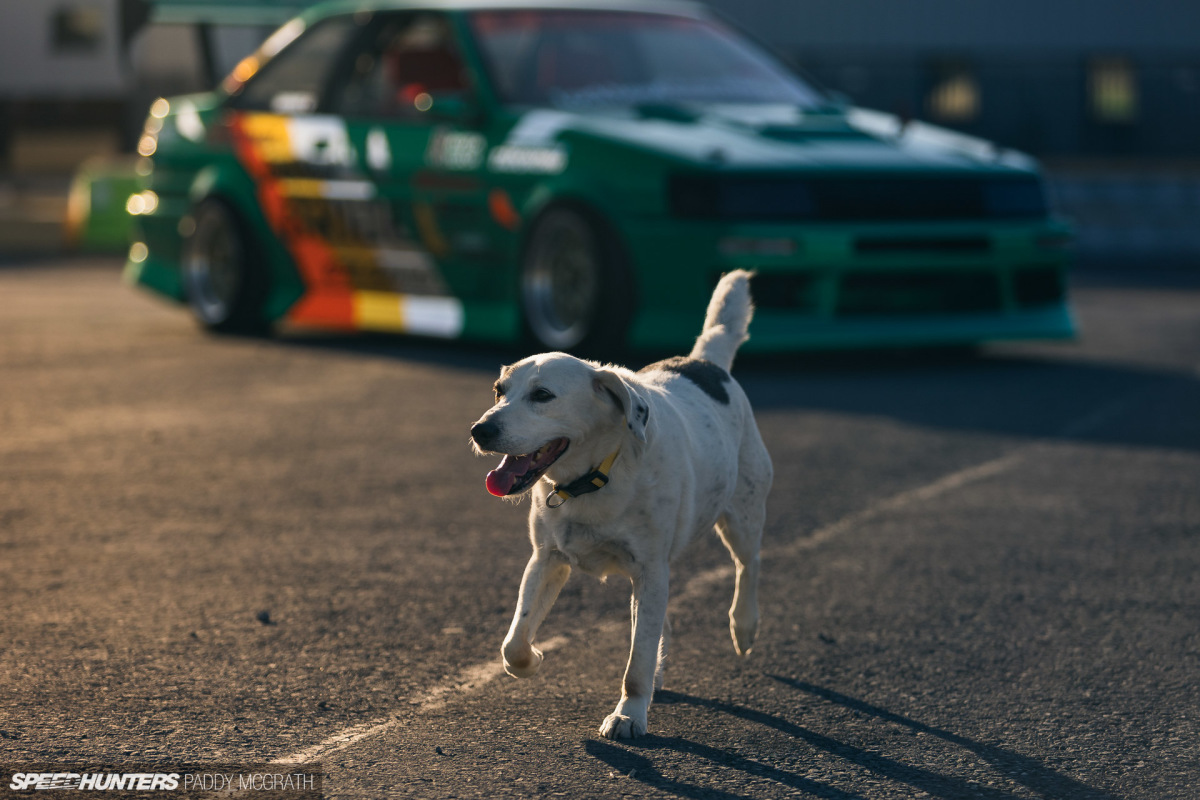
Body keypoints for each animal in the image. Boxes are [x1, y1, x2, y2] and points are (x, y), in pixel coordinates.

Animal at [468, 272, 768, 743]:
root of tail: (704, 361)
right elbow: (514, 642)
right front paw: (533, 660)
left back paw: (744, 625)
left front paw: (629, 715)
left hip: (742, 515)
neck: (592, 480)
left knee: (748, 565)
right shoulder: (546, 559)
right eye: (500, 391)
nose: (480, 430)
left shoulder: (649, 569)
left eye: (543, 395)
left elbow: (635, 663)